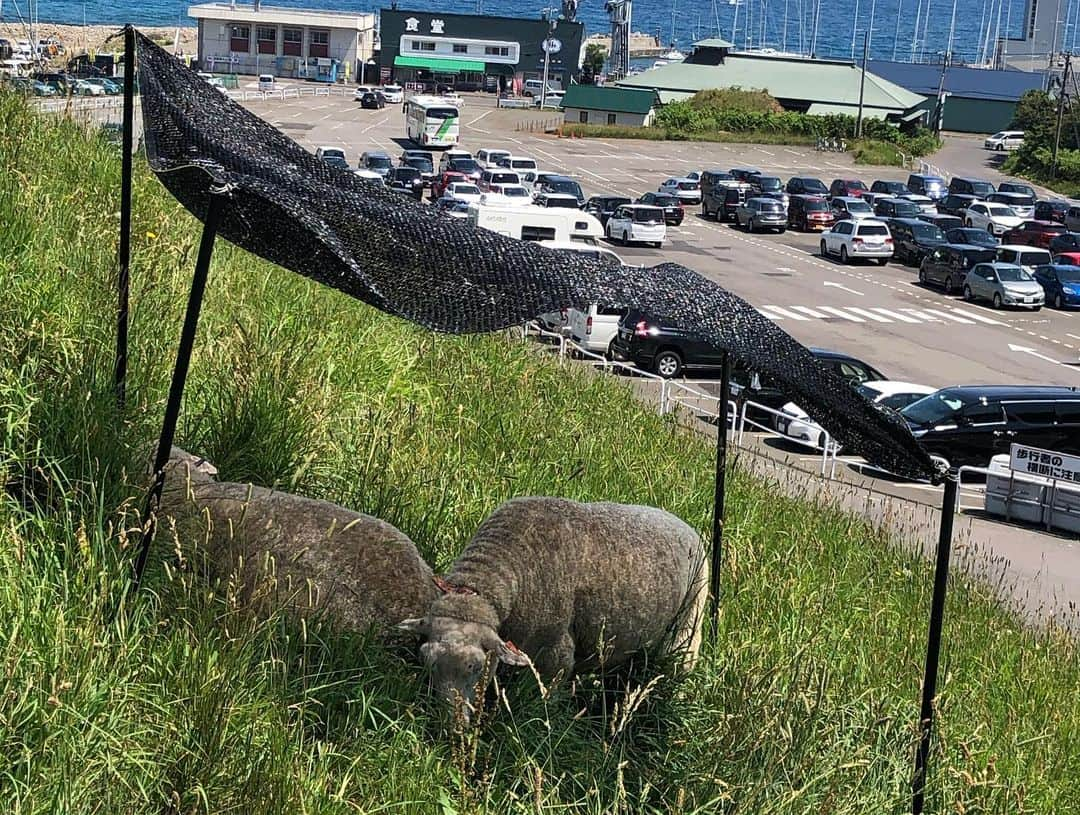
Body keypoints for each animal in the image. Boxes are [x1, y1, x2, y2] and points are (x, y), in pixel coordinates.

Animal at [397, 494, 708, 725]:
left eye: (475, 666)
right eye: (425, 660)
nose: (452, 724)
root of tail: (687, 526)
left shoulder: (555, 659)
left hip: (687, 624)